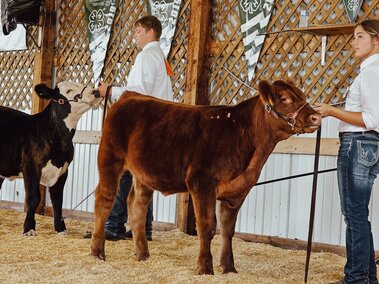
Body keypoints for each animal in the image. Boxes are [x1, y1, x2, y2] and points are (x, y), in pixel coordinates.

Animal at [0, 81, 101, 235]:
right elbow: (34, 198)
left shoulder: (63, 170)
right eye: (69, 90)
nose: (96, 92)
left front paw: (60, 228)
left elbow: (57, 200)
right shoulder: (31, 167)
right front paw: (29, 228)